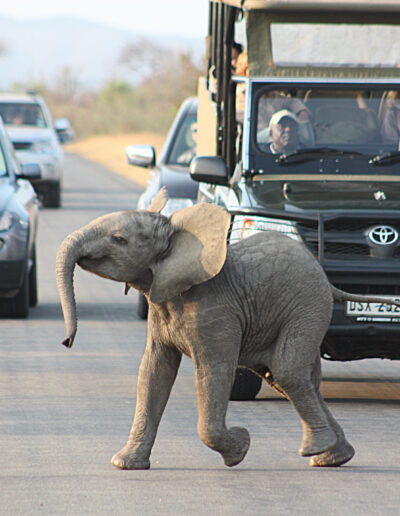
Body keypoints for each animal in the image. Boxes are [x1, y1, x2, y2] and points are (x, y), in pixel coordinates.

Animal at [56, 190, 400, 472]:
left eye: (118, 239)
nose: (67, 341)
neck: (175, 235)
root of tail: (329, 283)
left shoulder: (215, 311)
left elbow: (214, 370)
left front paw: (240, 447)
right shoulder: (161, 305)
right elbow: (153, 372)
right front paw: (125, 464)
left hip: (307, 307)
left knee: (287, 371)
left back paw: (317, 451)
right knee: (297, 379)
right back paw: (333, 457)